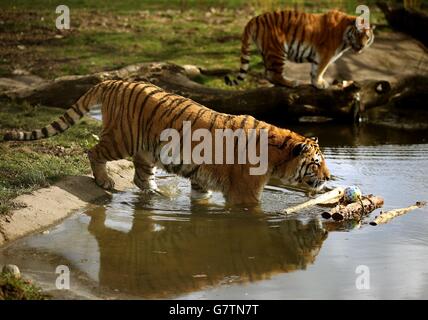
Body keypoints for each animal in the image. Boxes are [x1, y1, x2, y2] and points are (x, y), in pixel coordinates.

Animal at [3, 80, 330, 205]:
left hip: (147, 150)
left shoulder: (201, 179)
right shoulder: (244, 193)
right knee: (93, 150)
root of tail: (114, 80)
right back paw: (105, 181)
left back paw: (158, 195)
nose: (329, 178)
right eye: (316, 163)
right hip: (121, 139)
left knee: (140, 177)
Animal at [224, 9, 374, 88]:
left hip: (267, 52)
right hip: (277, 50)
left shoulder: (321, 55)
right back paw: (292, 82)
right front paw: (319, 83)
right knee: (273, 74)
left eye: (367, 36)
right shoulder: (326, 53)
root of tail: (254, 19)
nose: (362, 46)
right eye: (358, 34)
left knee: (268, 73)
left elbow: (315, 69)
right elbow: (320, 69)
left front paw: (315, 83)